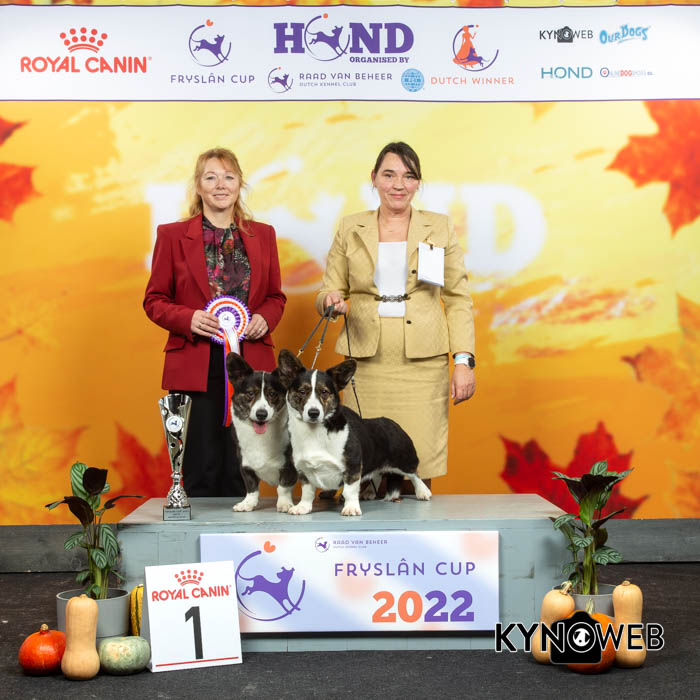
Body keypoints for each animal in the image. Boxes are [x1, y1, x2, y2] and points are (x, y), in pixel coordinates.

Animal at [225, 353, 297, 513]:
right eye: (250, 393)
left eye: (272, 394)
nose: (261, 414)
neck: (260, 437)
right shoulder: (245, 464)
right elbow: (251, 488)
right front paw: (247, 504)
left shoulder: (289, 465)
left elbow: (283, 487)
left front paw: (284, 504)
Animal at [277, 349, 431, 516]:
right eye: (302, 391)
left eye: (324, 392)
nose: (313, 413)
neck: (315, 433)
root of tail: (394, 423)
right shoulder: (304, 470)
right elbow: (307, 492)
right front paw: (302, 507)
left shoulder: (353, 466)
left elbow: (349, 490)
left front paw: (350, 508)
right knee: (376, 474)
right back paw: (369, 492)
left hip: (403, 459)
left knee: (414, 474)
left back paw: (423, 492)